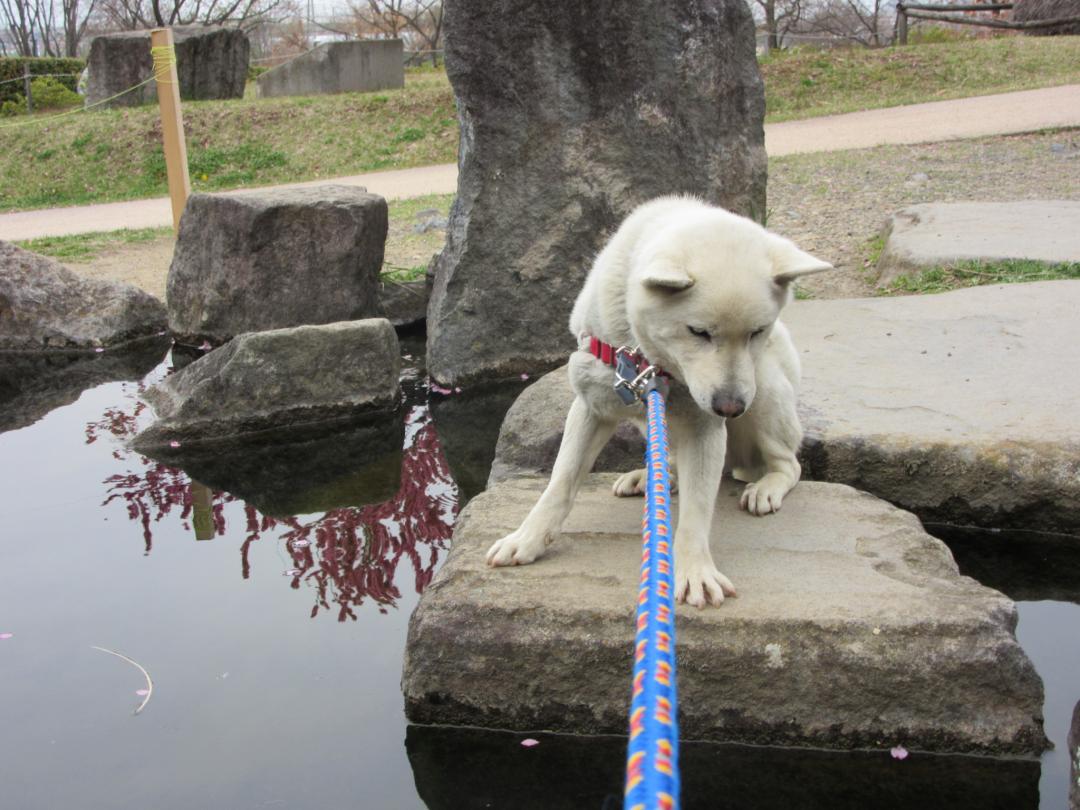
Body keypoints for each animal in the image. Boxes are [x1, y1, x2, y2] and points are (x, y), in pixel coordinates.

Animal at [486, 198, 829, 609]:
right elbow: (560, 483)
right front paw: (527, 538)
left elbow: (696, 513)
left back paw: (766, 487)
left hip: (764, 396)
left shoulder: (706, 428)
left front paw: (695, 572)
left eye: (758, 331)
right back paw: (651, 475)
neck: (649, 362)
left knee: (788, 464)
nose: (729, 408)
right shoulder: (590, 406)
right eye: (699, 332)